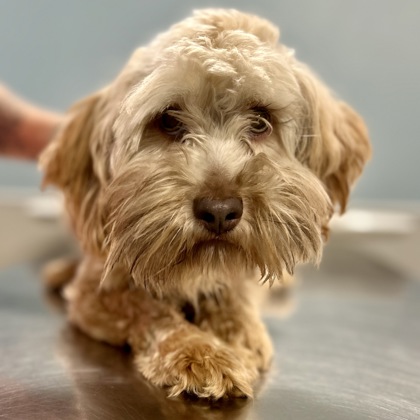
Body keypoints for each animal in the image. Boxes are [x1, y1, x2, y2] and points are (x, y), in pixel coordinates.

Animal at [37, 8, 370, 398]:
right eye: (168, 119)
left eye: (261, 120)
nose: (220, 211)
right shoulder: (97, 293)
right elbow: (148, 309)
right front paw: (198, 351)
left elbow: (235, 296)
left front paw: (239, 335)